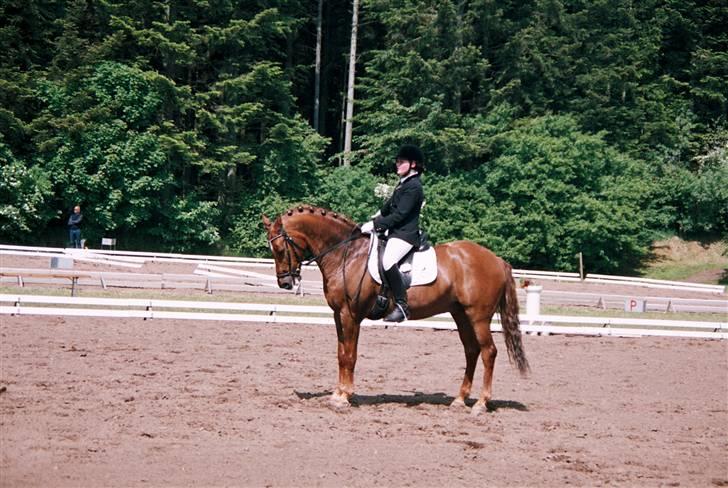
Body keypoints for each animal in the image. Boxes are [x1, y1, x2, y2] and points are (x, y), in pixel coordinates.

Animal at [262, 205, 529, 415]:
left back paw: (481, 403)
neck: (347, 255)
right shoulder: (339, 315)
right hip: (461, 314)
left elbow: (350, 355)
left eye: (280, 249)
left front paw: (344, 396)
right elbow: (340, 354)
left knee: (488, 352)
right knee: (471, 351)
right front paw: (337, 393)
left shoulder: (351, 315)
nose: (285, 283)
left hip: (479, 316)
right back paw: (460, 399)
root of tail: (498, 260)